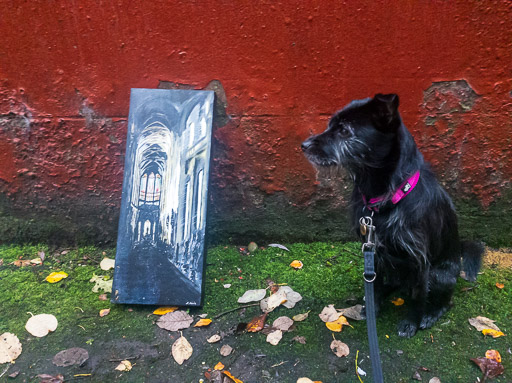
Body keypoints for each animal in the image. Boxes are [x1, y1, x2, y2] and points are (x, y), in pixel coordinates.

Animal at [302, 94, 482, 338]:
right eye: (331, 125)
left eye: (344, 130)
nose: (304, 145)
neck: (385, 196)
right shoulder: (374, 251)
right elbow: (375, 285)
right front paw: (373, 308)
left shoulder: (420, 260)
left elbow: (418, 296)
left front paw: (411, 322)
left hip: (440, 275)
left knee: (444, 301)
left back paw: (431, 314)